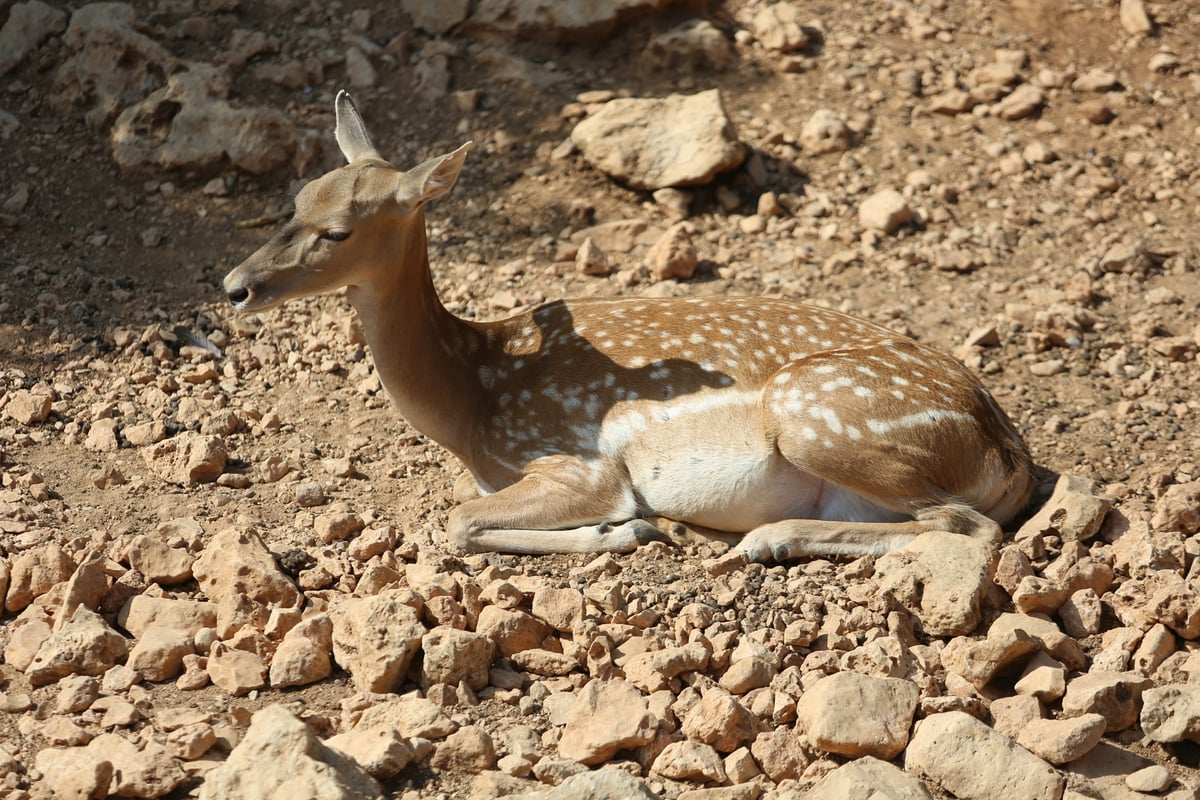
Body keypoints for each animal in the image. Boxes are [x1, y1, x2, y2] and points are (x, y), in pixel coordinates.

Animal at [223, 92, 1032, 563]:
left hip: (820, 415)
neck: (470, 399)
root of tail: (1007, 452)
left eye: (338, 232)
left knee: (971, 527)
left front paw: (628, 528)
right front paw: (631, 531)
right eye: (297, 197)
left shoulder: (575, 462)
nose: (235, 286)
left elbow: (456, 521)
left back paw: (759, 541)